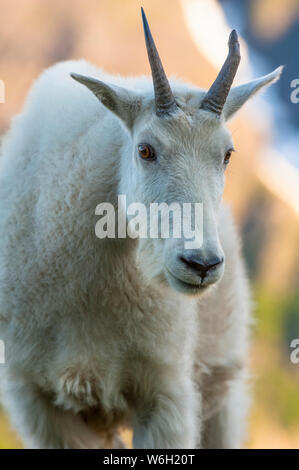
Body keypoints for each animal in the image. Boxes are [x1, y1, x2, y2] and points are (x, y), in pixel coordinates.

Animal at [0, 7, 282, 448]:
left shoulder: (165, 390)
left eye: (228, 154)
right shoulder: (37, 398)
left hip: (222, 378)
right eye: (145, 149)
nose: (201, 264)